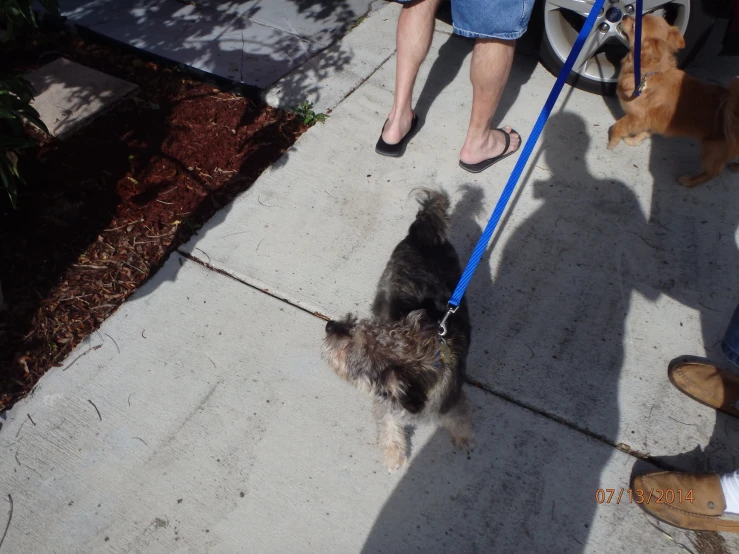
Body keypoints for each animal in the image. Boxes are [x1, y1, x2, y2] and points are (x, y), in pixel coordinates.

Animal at [608, 14, 739, 188]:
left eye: (635, 25)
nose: (624, 15)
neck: (649, 73)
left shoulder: (636, 117)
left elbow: (618, 126)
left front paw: (612, 143)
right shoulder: (649, 119)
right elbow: (644, 132)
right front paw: (634, 141)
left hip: (711, 150)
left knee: (712, 173)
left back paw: (689, 181)